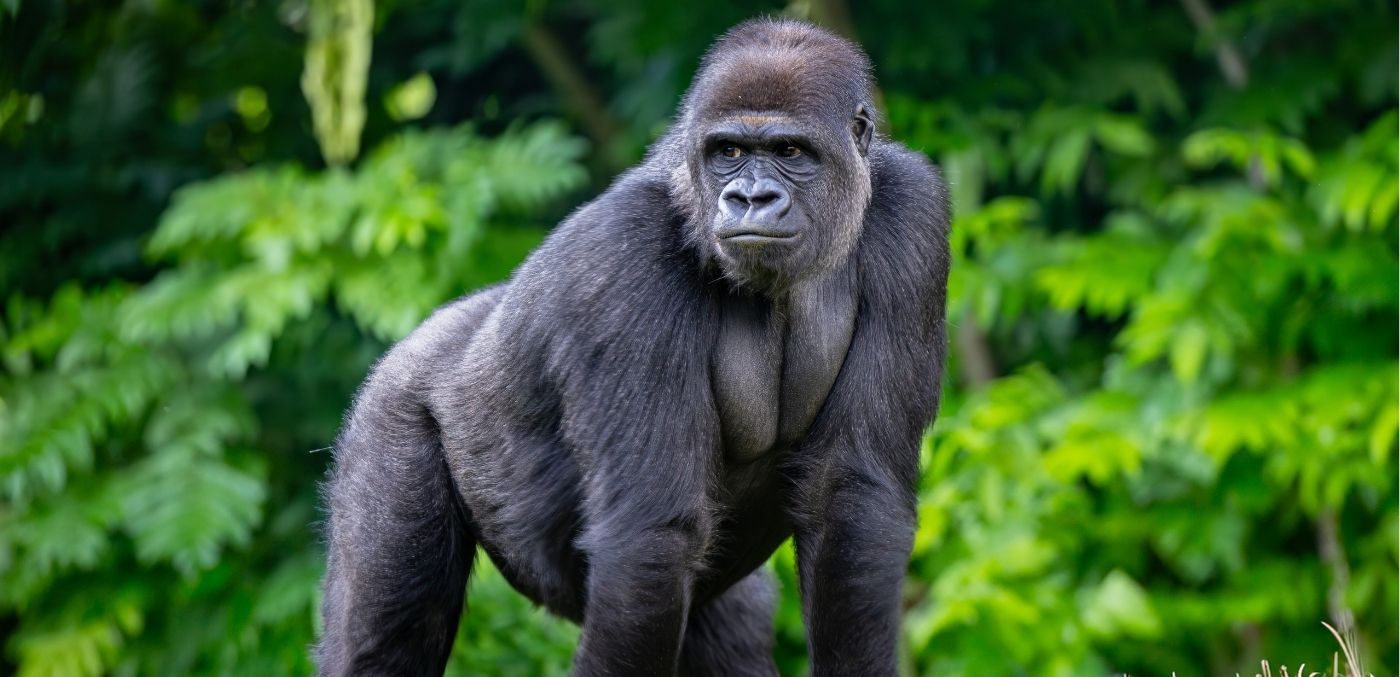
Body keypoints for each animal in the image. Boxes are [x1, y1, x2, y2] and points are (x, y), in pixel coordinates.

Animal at [316, 17, 950, 677]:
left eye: (790, 152)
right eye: (728, 153)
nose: (749, 199)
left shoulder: (913, 213)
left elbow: (853, 501)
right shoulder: (627, 255)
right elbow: (647, 543)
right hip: (391, 410)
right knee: (387, 636)